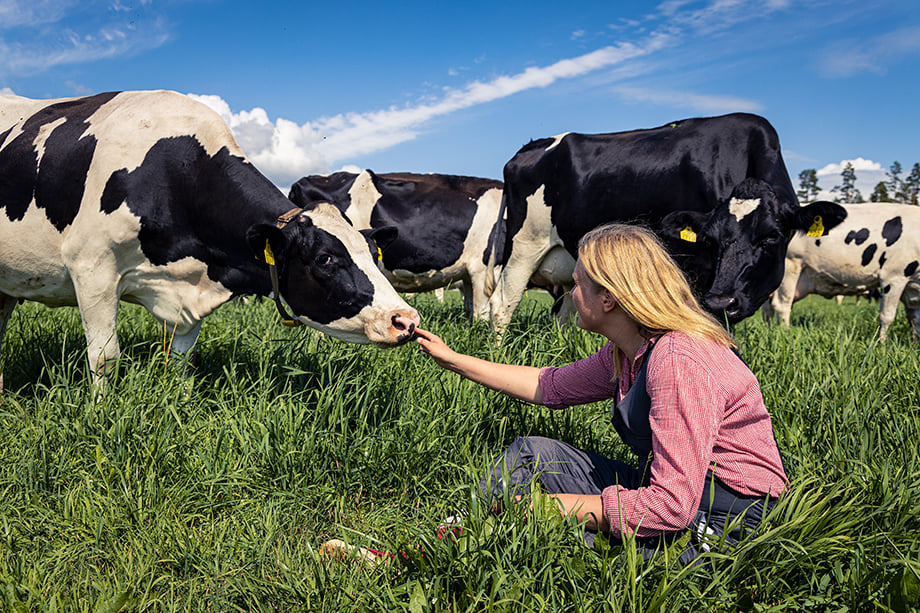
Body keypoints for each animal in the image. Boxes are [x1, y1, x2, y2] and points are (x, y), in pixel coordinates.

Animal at [0, 89, 420, 388]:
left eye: (373, 254)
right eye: (324, 258)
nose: (406, 319)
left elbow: (182, 361)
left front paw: (179, 407)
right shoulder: (91, 266)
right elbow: (105, 358)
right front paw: (101, 418)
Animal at [488, 112, 848, 328]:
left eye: (772, 236)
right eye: (710, 239)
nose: (723, 300)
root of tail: (531, 146)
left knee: (564, 315)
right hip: (524, 245)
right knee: (501, 304)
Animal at [760, 202, 920, 340]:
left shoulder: (911, 289)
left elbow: (914, 318)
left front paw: (914, 341)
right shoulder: (893, 277)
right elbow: (887, 316)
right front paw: (881, 344)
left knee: (767, 308)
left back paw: (769, 331)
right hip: (790, 267)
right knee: (782, 304)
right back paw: (785, 332)